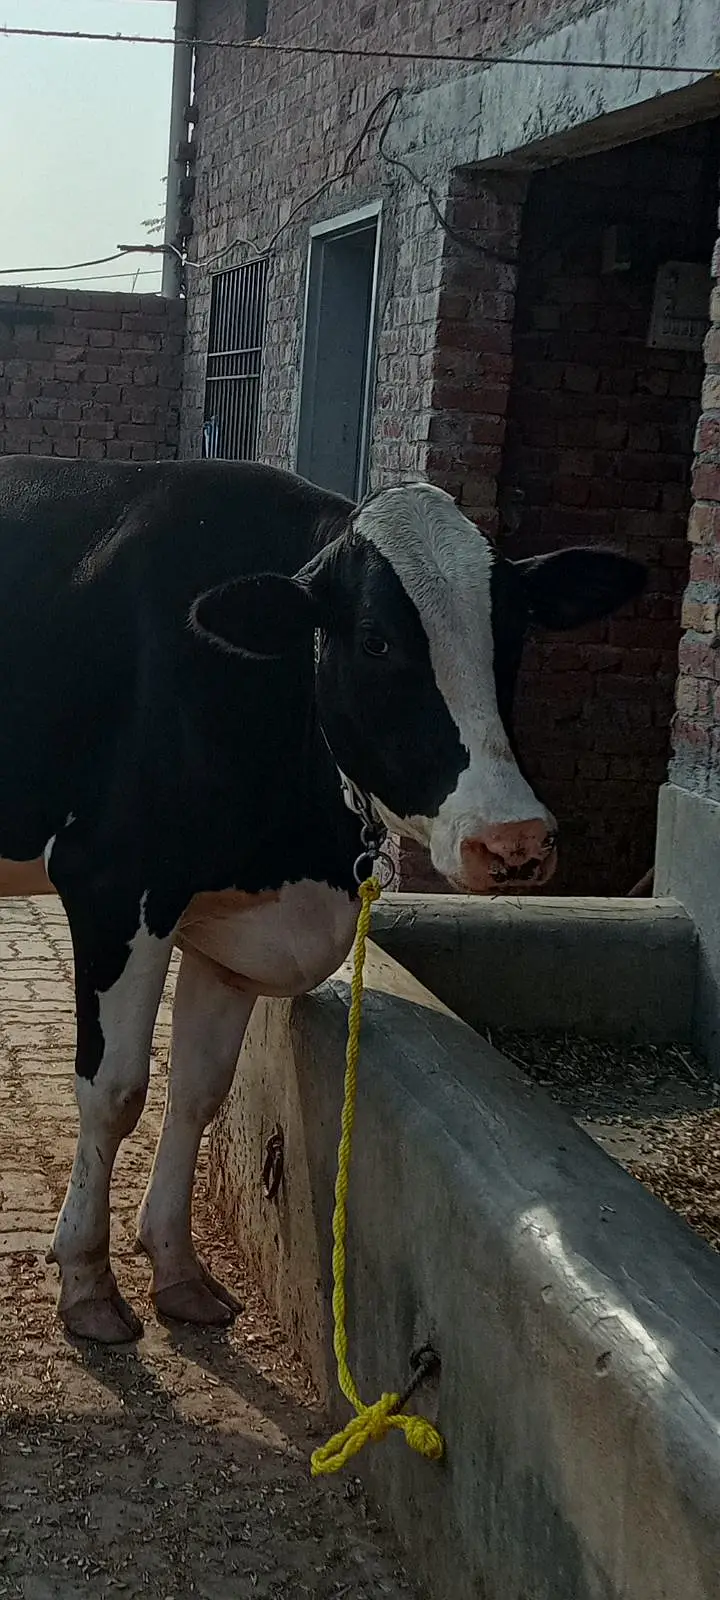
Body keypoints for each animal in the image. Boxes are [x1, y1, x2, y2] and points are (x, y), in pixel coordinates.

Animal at [0, 455, 644, 1343]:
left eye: (511, 634)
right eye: (375, 640)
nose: (512, 839)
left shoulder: (236, 923)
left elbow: (199, 1088)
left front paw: (178, 1270)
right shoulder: (112, 883)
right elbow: (117, 1092)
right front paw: (90, 1283)